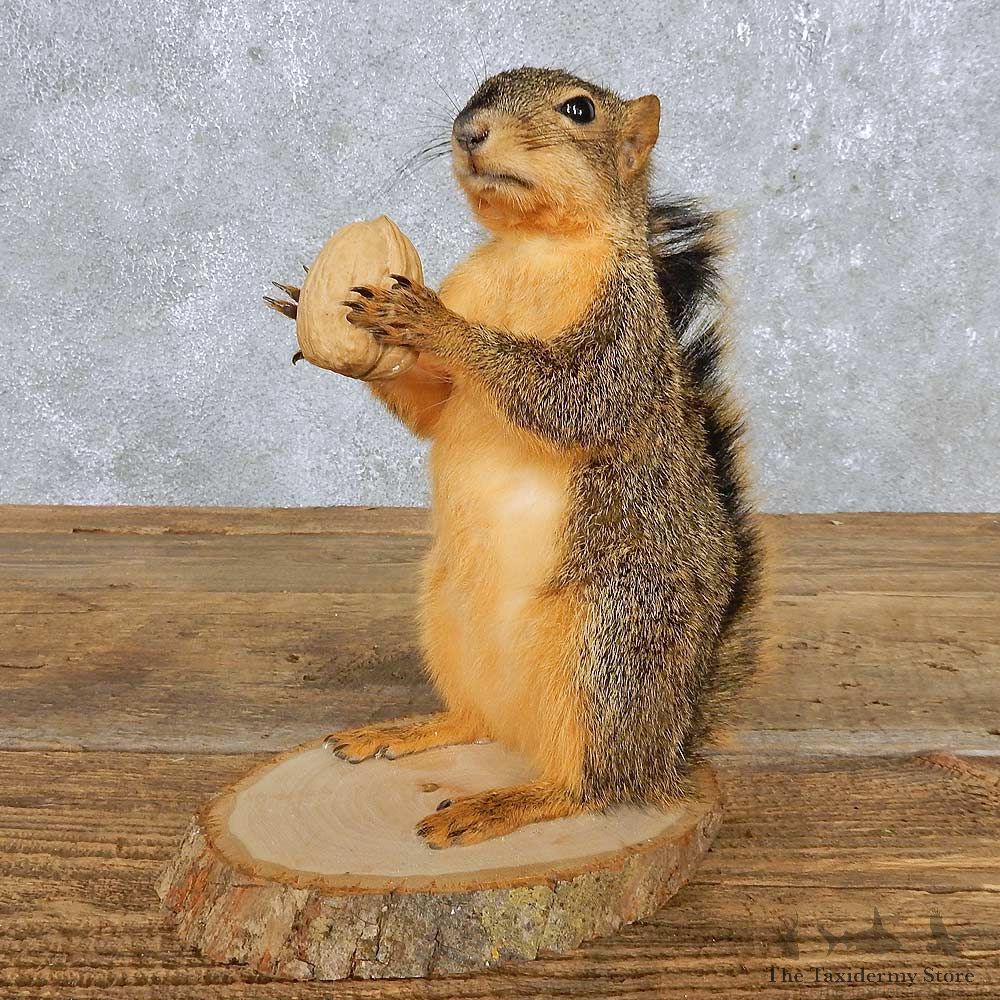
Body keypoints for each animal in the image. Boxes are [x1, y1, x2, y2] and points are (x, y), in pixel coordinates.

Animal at [271, 67, 764, 849]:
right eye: (475, 93)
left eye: (579, 110)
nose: (469, 131)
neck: (528, 249)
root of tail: (672, 741)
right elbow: (432, 409)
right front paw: (308, 310)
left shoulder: (623, 339)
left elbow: (571, 396)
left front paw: (432, 319)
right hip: (446, 616)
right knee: (477, 721)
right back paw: (411, 730)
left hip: (610, 646)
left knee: (593, 785)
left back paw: (504, 804)